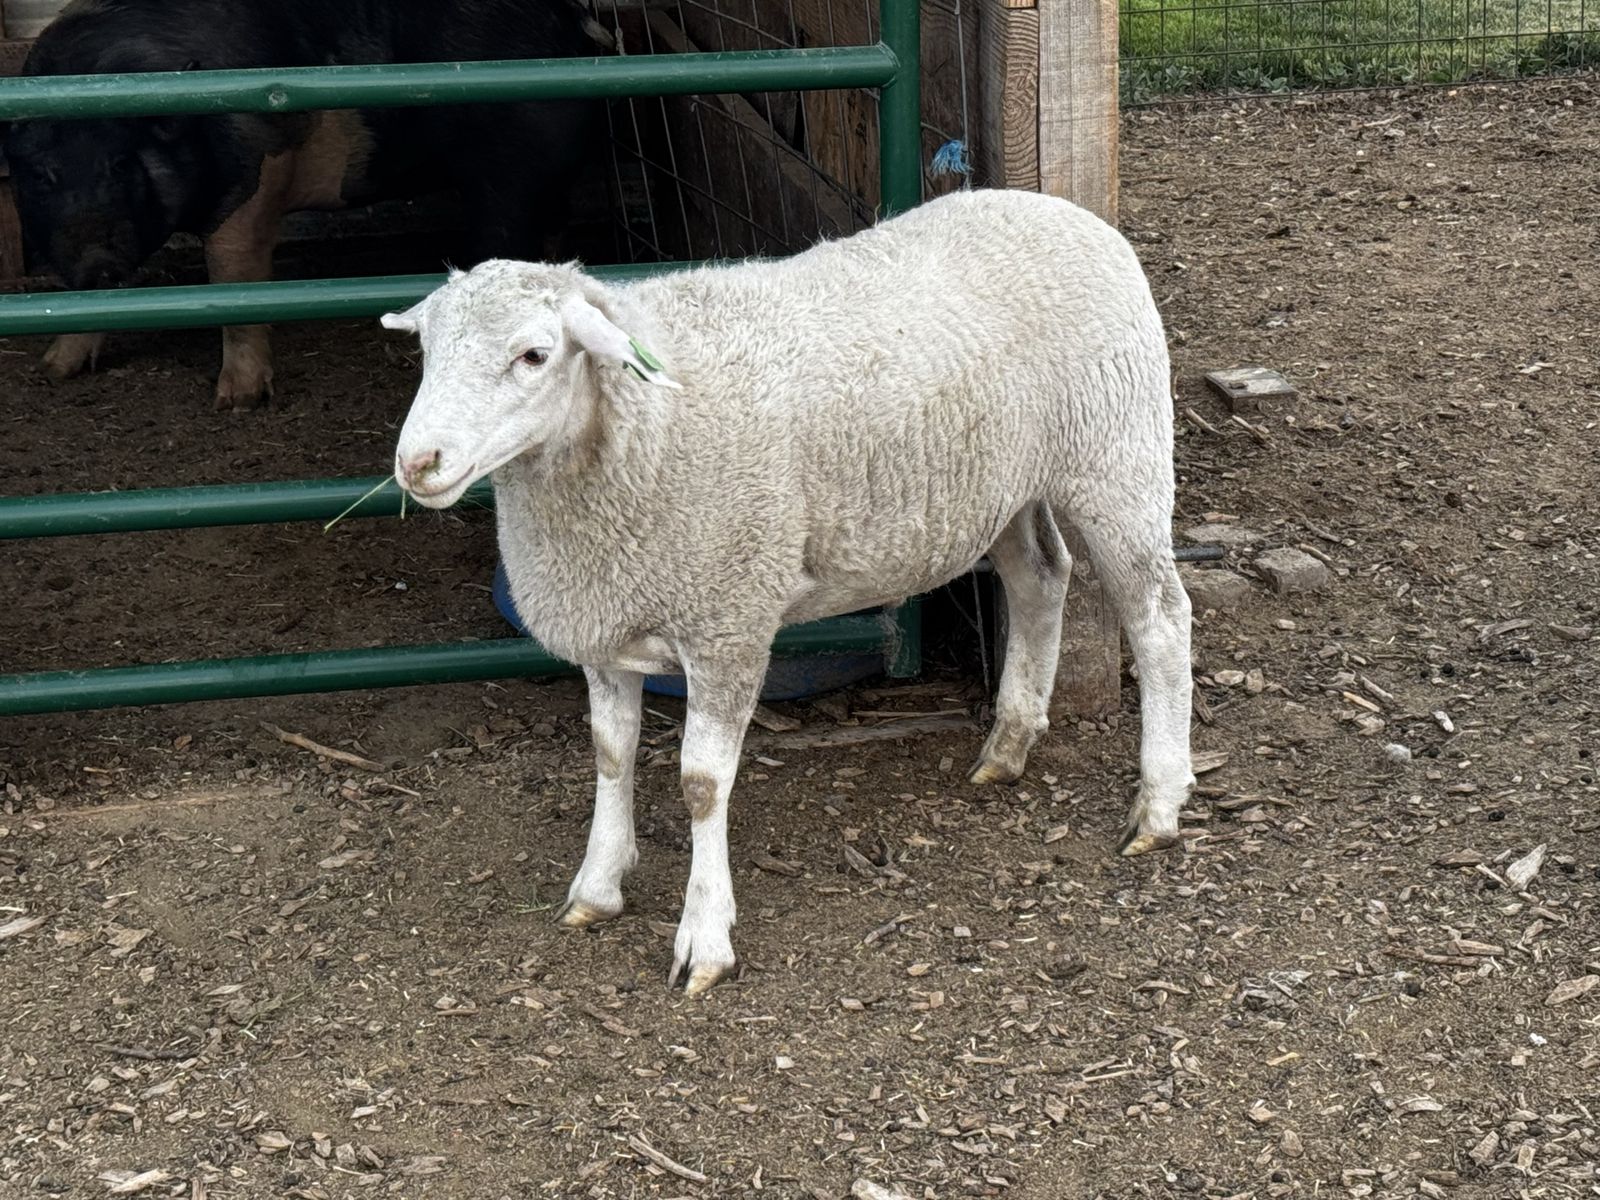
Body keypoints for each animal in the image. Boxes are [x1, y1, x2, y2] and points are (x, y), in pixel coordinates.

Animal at [381, 187, 1194, 995]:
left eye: (534, 355)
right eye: (426, 352)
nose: (417, 464)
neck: (644, 425)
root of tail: (1064, 208)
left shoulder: (727, 620)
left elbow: (702, 783)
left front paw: (705, 937)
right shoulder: (608, 620)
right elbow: (611, 754)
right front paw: (598, 885)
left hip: (1117, 454)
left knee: (1160, 617)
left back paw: (1158, 803)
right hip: (1004, 485)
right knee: (1040, 577)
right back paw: (1009, 744)